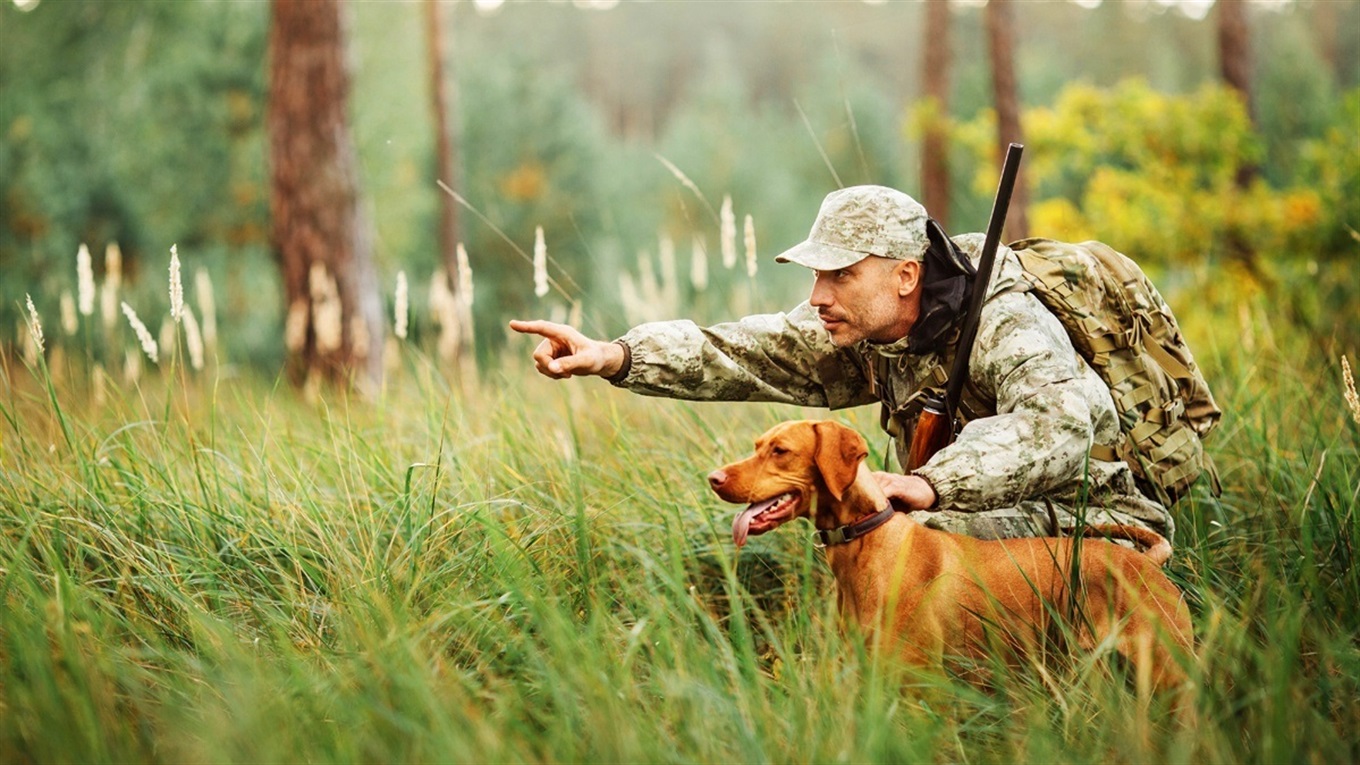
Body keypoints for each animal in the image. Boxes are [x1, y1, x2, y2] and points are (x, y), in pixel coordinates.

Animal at [712, 416, 1191, 691]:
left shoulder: (919, 685)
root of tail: (1146, 562)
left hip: (1168, 673)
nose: (714, 478)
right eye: (757, 446)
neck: (868, 542)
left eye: (781, 451)